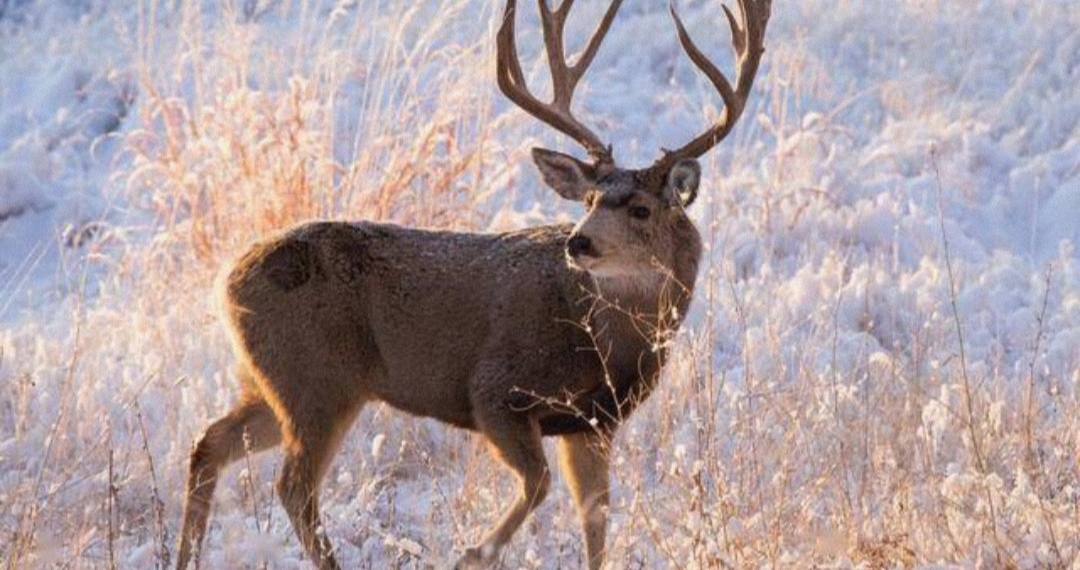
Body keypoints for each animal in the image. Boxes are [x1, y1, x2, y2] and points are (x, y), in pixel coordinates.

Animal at [174, 0, 768, 565]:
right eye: (590, 199)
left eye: (641, 209)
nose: (579, 243)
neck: (603, 343)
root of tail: (225, 282)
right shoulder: (495, 392)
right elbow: (539, 483)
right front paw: (470, 554)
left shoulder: (592, 423)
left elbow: (596, 521)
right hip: (317, 380)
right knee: (293, 487)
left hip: (274, 380)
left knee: (210, 443)